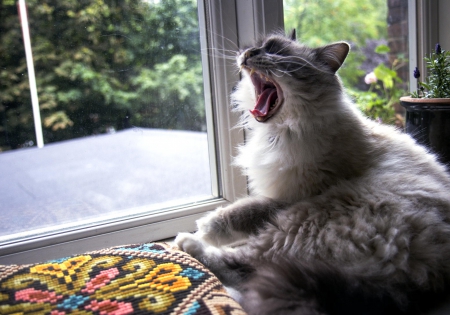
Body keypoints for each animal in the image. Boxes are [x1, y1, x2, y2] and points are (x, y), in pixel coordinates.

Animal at [174, 30, 450, 315]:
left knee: (250, 262)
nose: (248, 53)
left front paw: (204, 227)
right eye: (258, 47)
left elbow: (240, 213)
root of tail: (430, 276)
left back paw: (186, 243)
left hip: (306, 219)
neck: (282, 131)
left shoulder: (288, 199)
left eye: (276, 51)